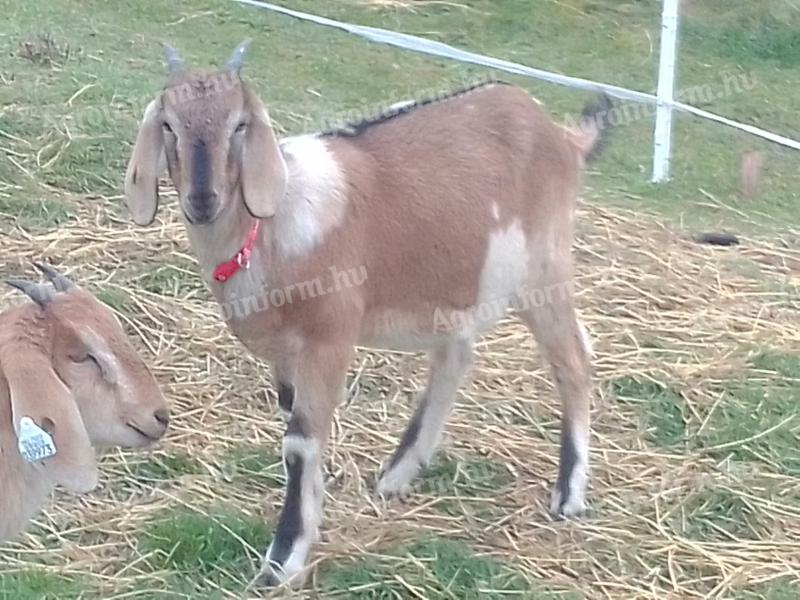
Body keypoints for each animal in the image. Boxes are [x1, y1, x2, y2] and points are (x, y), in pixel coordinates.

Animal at [125, 41, 608, 584]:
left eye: (240, 124)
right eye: (168, 124)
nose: (204, 200)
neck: (269, 230)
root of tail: (561, 135)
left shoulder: (330, 339)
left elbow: (299, 442)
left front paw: (282, 560)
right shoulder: (286, 355)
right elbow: (298, 427)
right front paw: (313, 514)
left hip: (544, 271)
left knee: (573, 360)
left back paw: (568, 495)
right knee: (456, 358)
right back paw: (398, 475)